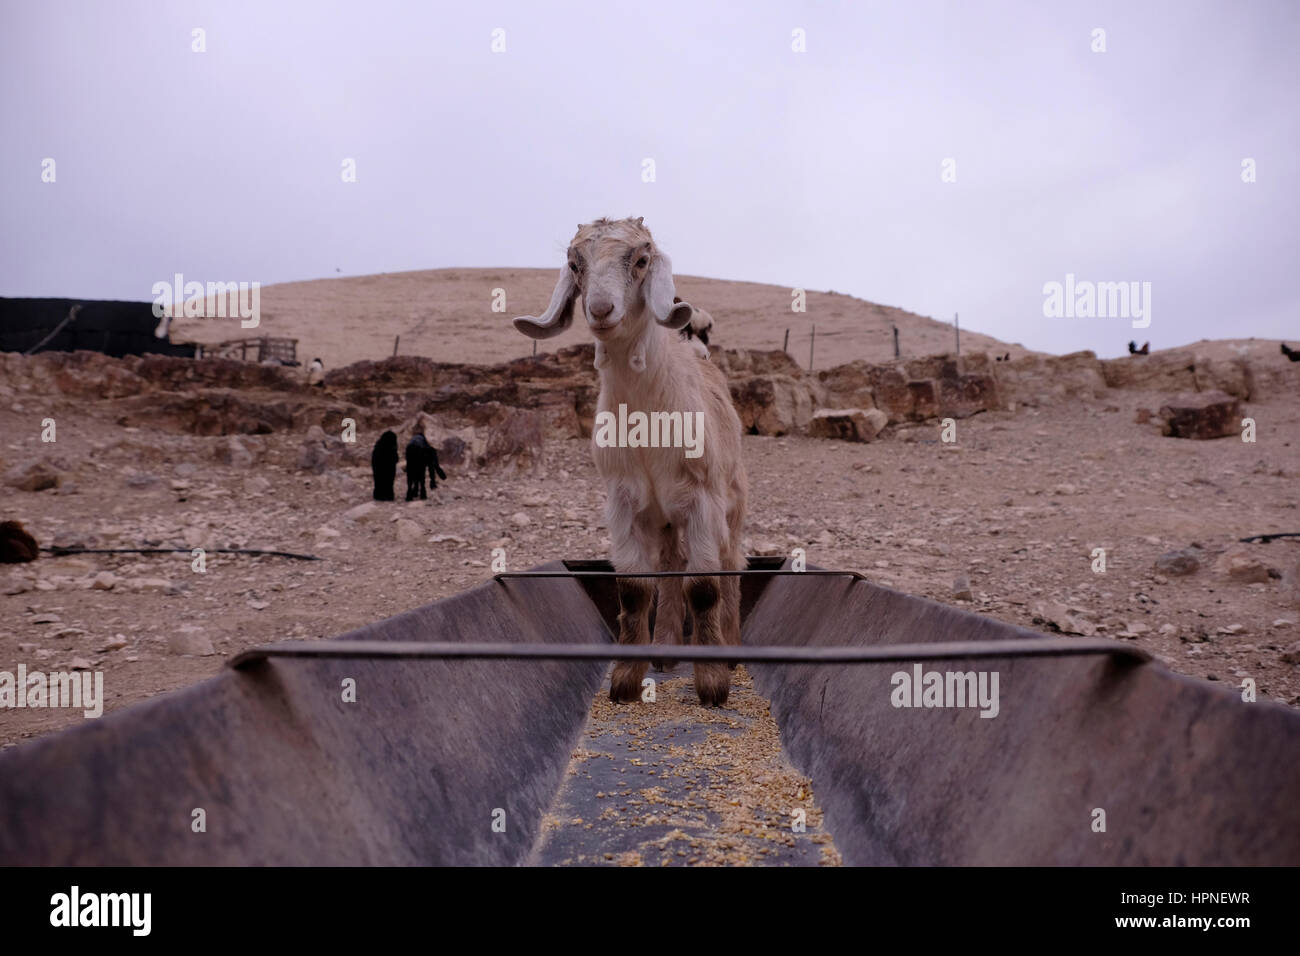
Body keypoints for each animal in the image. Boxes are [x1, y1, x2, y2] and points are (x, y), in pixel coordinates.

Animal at [512, 221, 748, 707]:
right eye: (575, 264)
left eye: (641, 260)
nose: (601, 309)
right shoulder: (623, 503)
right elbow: (635, 588)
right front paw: (625, 680)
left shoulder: (704, 500)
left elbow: (705, 587)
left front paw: (713, 684)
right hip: (666, 519)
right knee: (671, 565)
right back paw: (664, 652)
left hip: (732, 503)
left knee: (732, 563)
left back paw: (729, 650)